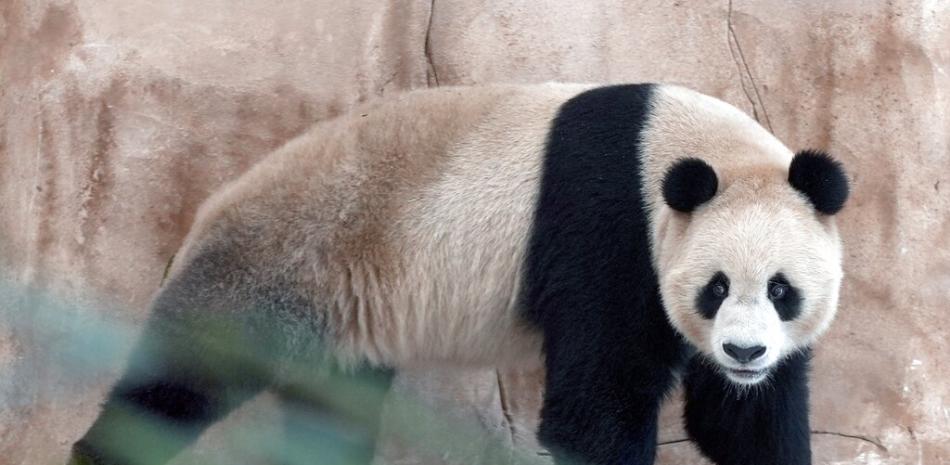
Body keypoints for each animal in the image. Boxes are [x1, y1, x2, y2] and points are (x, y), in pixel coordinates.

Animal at [68, 83, 849, 465]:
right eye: (715, 287)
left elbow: (740, 422)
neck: (668, 148)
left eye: (782, 290)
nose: (743, 352)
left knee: (328, 419)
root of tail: (207, 210)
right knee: (183, 378)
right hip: (278, 264)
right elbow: (593, 412)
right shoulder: (608, 233)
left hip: (336, 320)